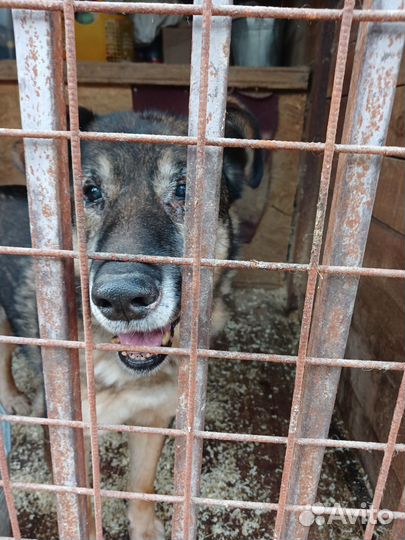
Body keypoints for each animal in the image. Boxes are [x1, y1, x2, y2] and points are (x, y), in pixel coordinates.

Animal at [0, 102, 262, 540]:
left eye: (184, 190)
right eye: (90, 192)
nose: (122, 299)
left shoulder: (155, 418)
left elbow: (141, 485)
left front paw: (144, 528)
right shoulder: (67, 438)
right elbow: (83, 504)